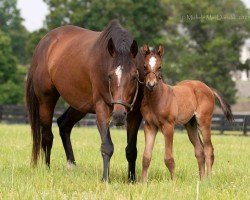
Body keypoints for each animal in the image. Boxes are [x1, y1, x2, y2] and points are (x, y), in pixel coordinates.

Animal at [141, 44, 232, 182]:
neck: (156, 99)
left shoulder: (168, 126)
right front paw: (142, 183)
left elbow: (169, 158)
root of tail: (209, 88)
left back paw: (209, 179)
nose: (151, 84)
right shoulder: (149, 126)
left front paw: (173, 181)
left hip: (204, 121)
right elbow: (146, 157)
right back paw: (202, 179)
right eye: (145, 66)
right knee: (199, 151)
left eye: (160, 66)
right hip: (191, 124)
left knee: (208, 149)